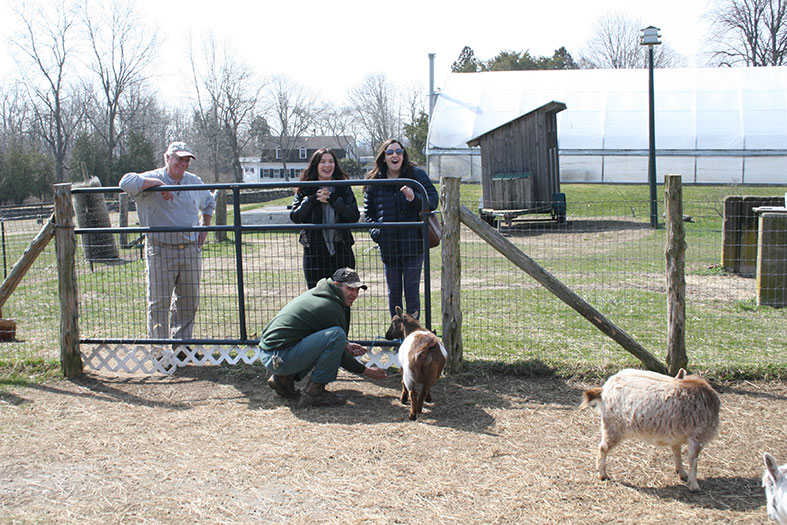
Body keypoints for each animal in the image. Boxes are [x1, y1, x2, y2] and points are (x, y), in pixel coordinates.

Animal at [580, 366, 724, 490]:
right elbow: (693, 460)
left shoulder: (676, 435)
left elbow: (677, 452)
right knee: (603, 448)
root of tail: (604, 390)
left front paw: (682, 473)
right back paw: (603, 475)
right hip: (613, 427)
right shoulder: (698, 436)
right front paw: (694, 486)